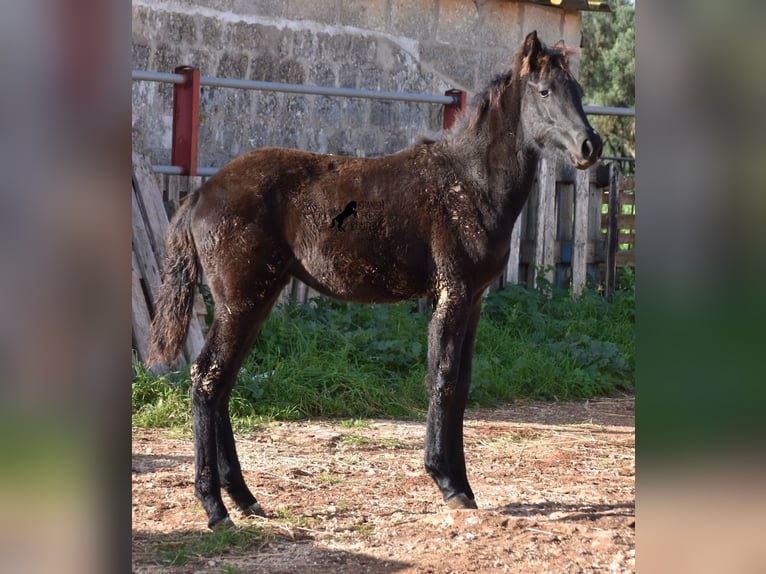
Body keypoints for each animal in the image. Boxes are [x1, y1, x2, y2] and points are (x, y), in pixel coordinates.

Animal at [150, 30, 604, 528]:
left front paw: (463, 485)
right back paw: (214, 508)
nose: (591, 147)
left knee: (222, 382)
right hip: (241, 301)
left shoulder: (475, 300)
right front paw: (449, 486)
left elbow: (462, 383)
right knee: (207, 378)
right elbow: (442, 379)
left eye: (578, 91)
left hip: (255, 301)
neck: (470, 182)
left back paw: (245, 499)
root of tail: (200, 194)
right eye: (544, 92)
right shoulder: (452, 293)